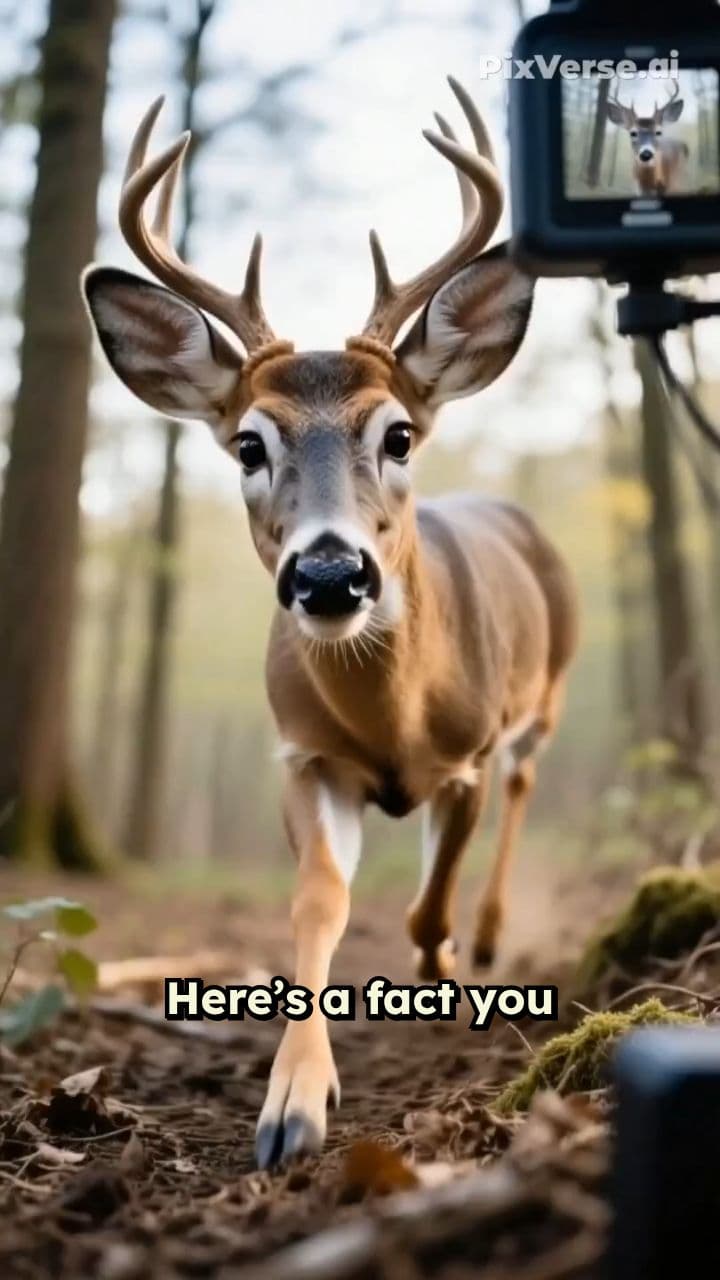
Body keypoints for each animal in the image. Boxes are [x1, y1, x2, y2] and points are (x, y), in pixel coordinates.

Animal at [82, 79, 579, 1170]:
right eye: (246, 445)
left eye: (396, 433)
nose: (327, 571)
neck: (392, 719)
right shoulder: (303, 755)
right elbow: (320, 902)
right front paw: (292, 1104)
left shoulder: (465, 756)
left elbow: (426, 901)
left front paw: (447, 970)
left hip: (547, 694)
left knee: (526, 786)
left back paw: (485, 937)